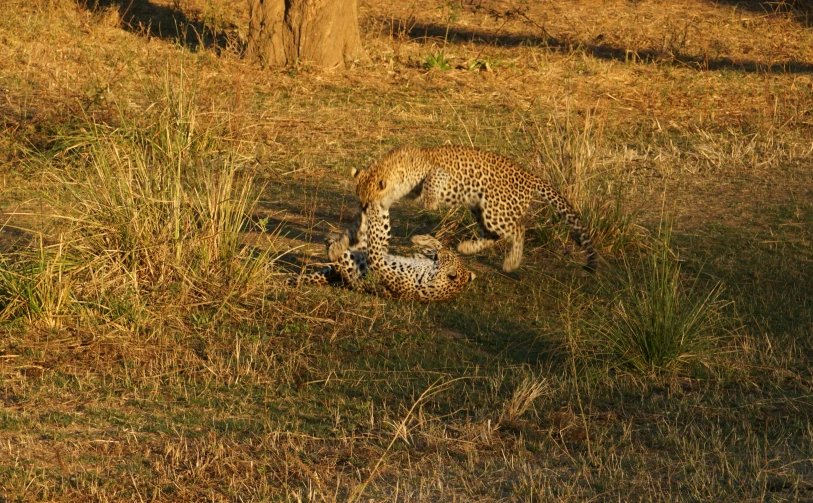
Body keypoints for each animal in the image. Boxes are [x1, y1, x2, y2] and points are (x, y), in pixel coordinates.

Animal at [288, 202, 472, 304]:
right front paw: (423, 239)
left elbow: (374, 246)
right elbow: (436, 246)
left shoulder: (380, 265)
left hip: (365, 249)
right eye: (450, 257)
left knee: (371, 231)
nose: (438, 256)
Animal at [348, 144, 596, 274]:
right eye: (361, 202)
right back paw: (467, 247)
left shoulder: (438, 173)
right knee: (493, 235)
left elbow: (431, 182)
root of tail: (530, 176)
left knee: (518, 229)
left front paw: (429, 202)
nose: (365, 210)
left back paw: (511, 263)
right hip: (480, 209)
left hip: (496, 210)